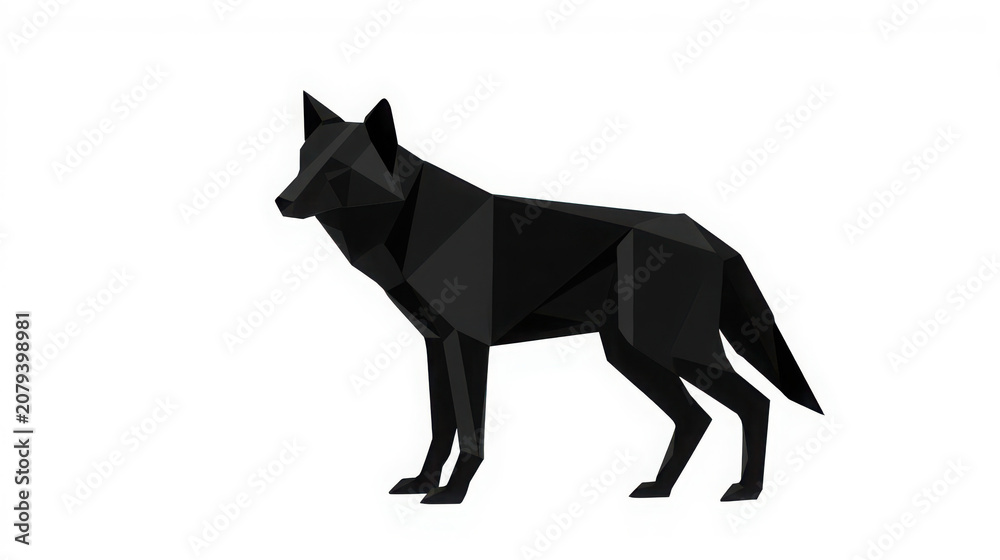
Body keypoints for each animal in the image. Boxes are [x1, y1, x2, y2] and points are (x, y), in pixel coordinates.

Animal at [275, 93, 823, 504]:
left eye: (339, 171)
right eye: (304, 162)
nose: (281, 201)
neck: (414, 224)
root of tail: (709, 237)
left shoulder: (468, 345)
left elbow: (469, 429)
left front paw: (453, 492)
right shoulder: (435, 345)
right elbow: (440, 423)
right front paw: (424, 483)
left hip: (673, 351)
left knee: (754, 404)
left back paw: (747, 490)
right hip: (634, 356)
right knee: (696, 418)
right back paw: (659, 488)